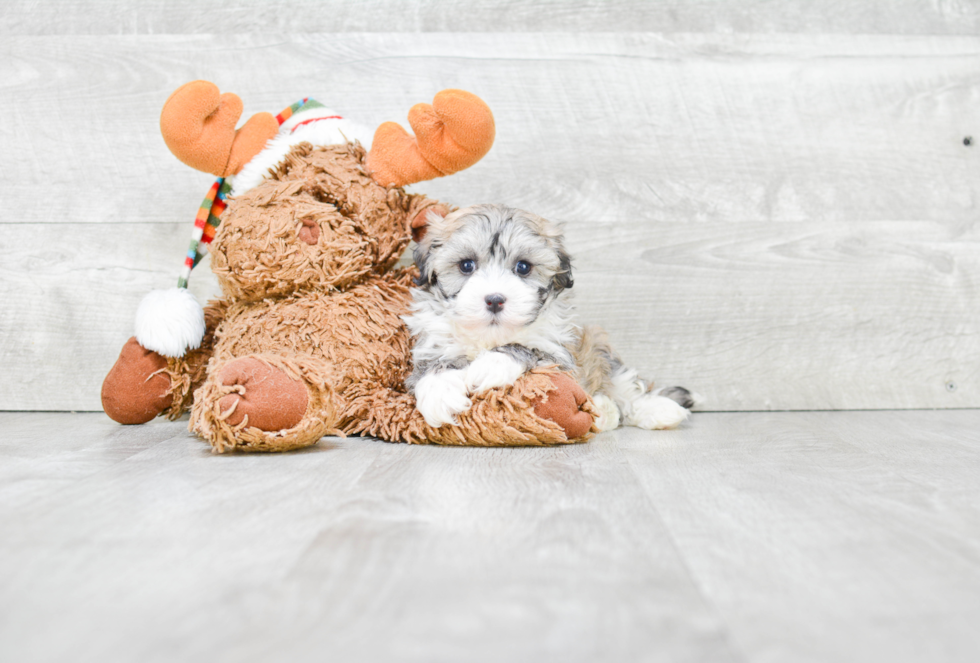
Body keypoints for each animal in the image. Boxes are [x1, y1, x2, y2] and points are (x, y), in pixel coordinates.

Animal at [406, 206, 696, 436]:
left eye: (523, 267)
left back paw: (655, 410)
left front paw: (492, 364)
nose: (495, 300)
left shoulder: (561, 356)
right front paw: (439, 392)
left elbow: (530, 349)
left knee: (625, 388)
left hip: (597, 344)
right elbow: (432, 366)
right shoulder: (432, 344)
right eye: (466, 265)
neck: (491, 336)